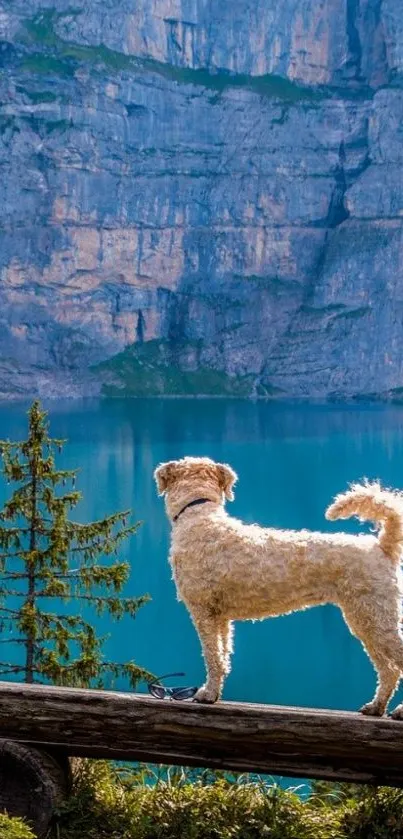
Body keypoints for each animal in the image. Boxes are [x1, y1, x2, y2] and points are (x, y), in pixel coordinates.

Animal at [153, 456, 403, 720]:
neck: (199, 517)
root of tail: (382, 547)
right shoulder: (220, 617)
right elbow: (222, 657)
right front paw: (214, 692)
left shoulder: (202, 611)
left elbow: (212, 657)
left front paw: (207, 694)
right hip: (365, 620)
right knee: (388, 669)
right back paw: (376, 706)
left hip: (374, 616)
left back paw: (397, 710)